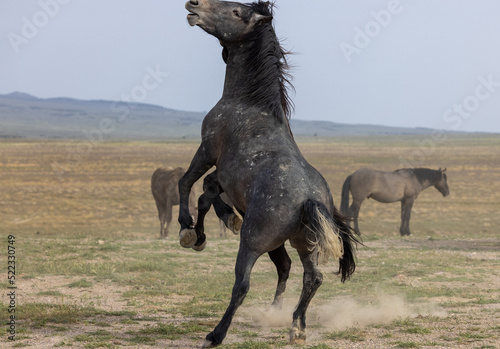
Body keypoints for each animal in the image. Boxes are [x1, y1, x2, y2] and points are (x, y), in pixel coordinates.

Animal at [176, 1, 360, 346]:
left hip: (254, 243)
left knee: (243, 284)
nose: (193, 4)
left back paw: (216, 335)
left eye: (236, 12)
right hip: (304, 243)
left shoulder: (207, 150)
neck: (246, 103)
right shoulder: (225, 175)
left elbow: (187, 182)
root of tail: (309, 199)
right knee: (311, 276)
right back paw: (295, 326)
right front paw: (208, 230)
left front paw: (187, 230)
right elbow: (207, 192)